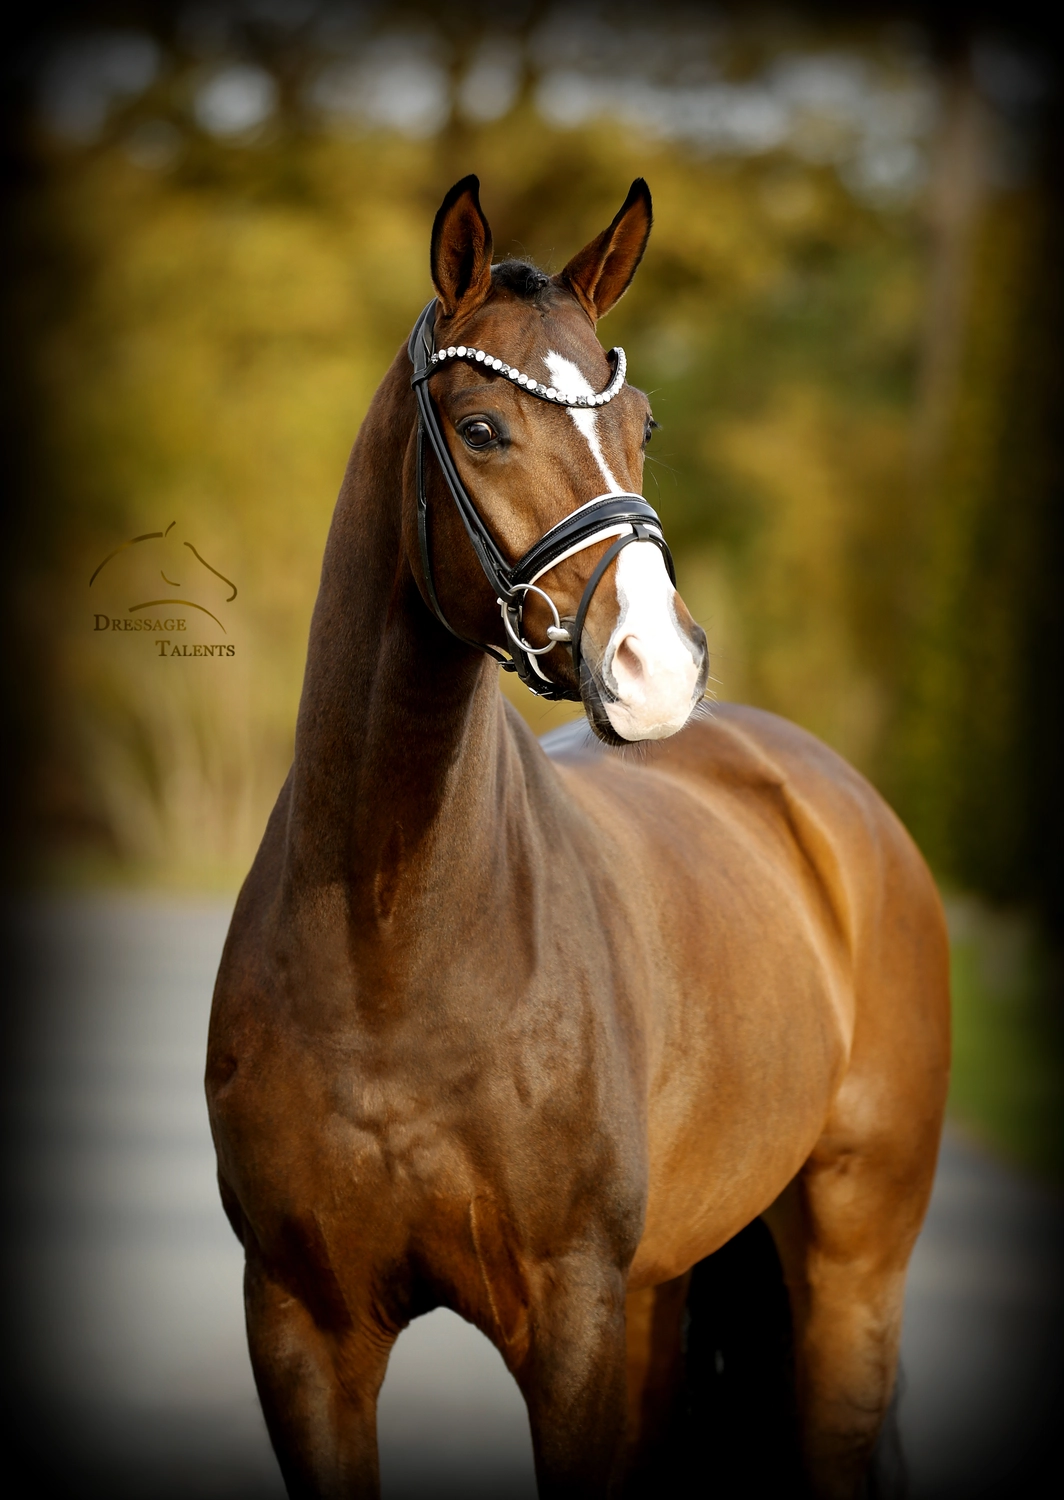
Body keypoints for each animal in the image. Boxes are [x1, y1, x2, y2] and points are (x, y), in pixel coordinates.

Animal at [206, 175, 950, 1499]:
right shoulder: (302, 1326)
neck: (390, 942)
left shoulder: (570, 1325)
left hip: (850, 1267)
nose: (657, 668)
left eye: (643, 423)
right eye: (482, 427)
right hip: (667, 1290)